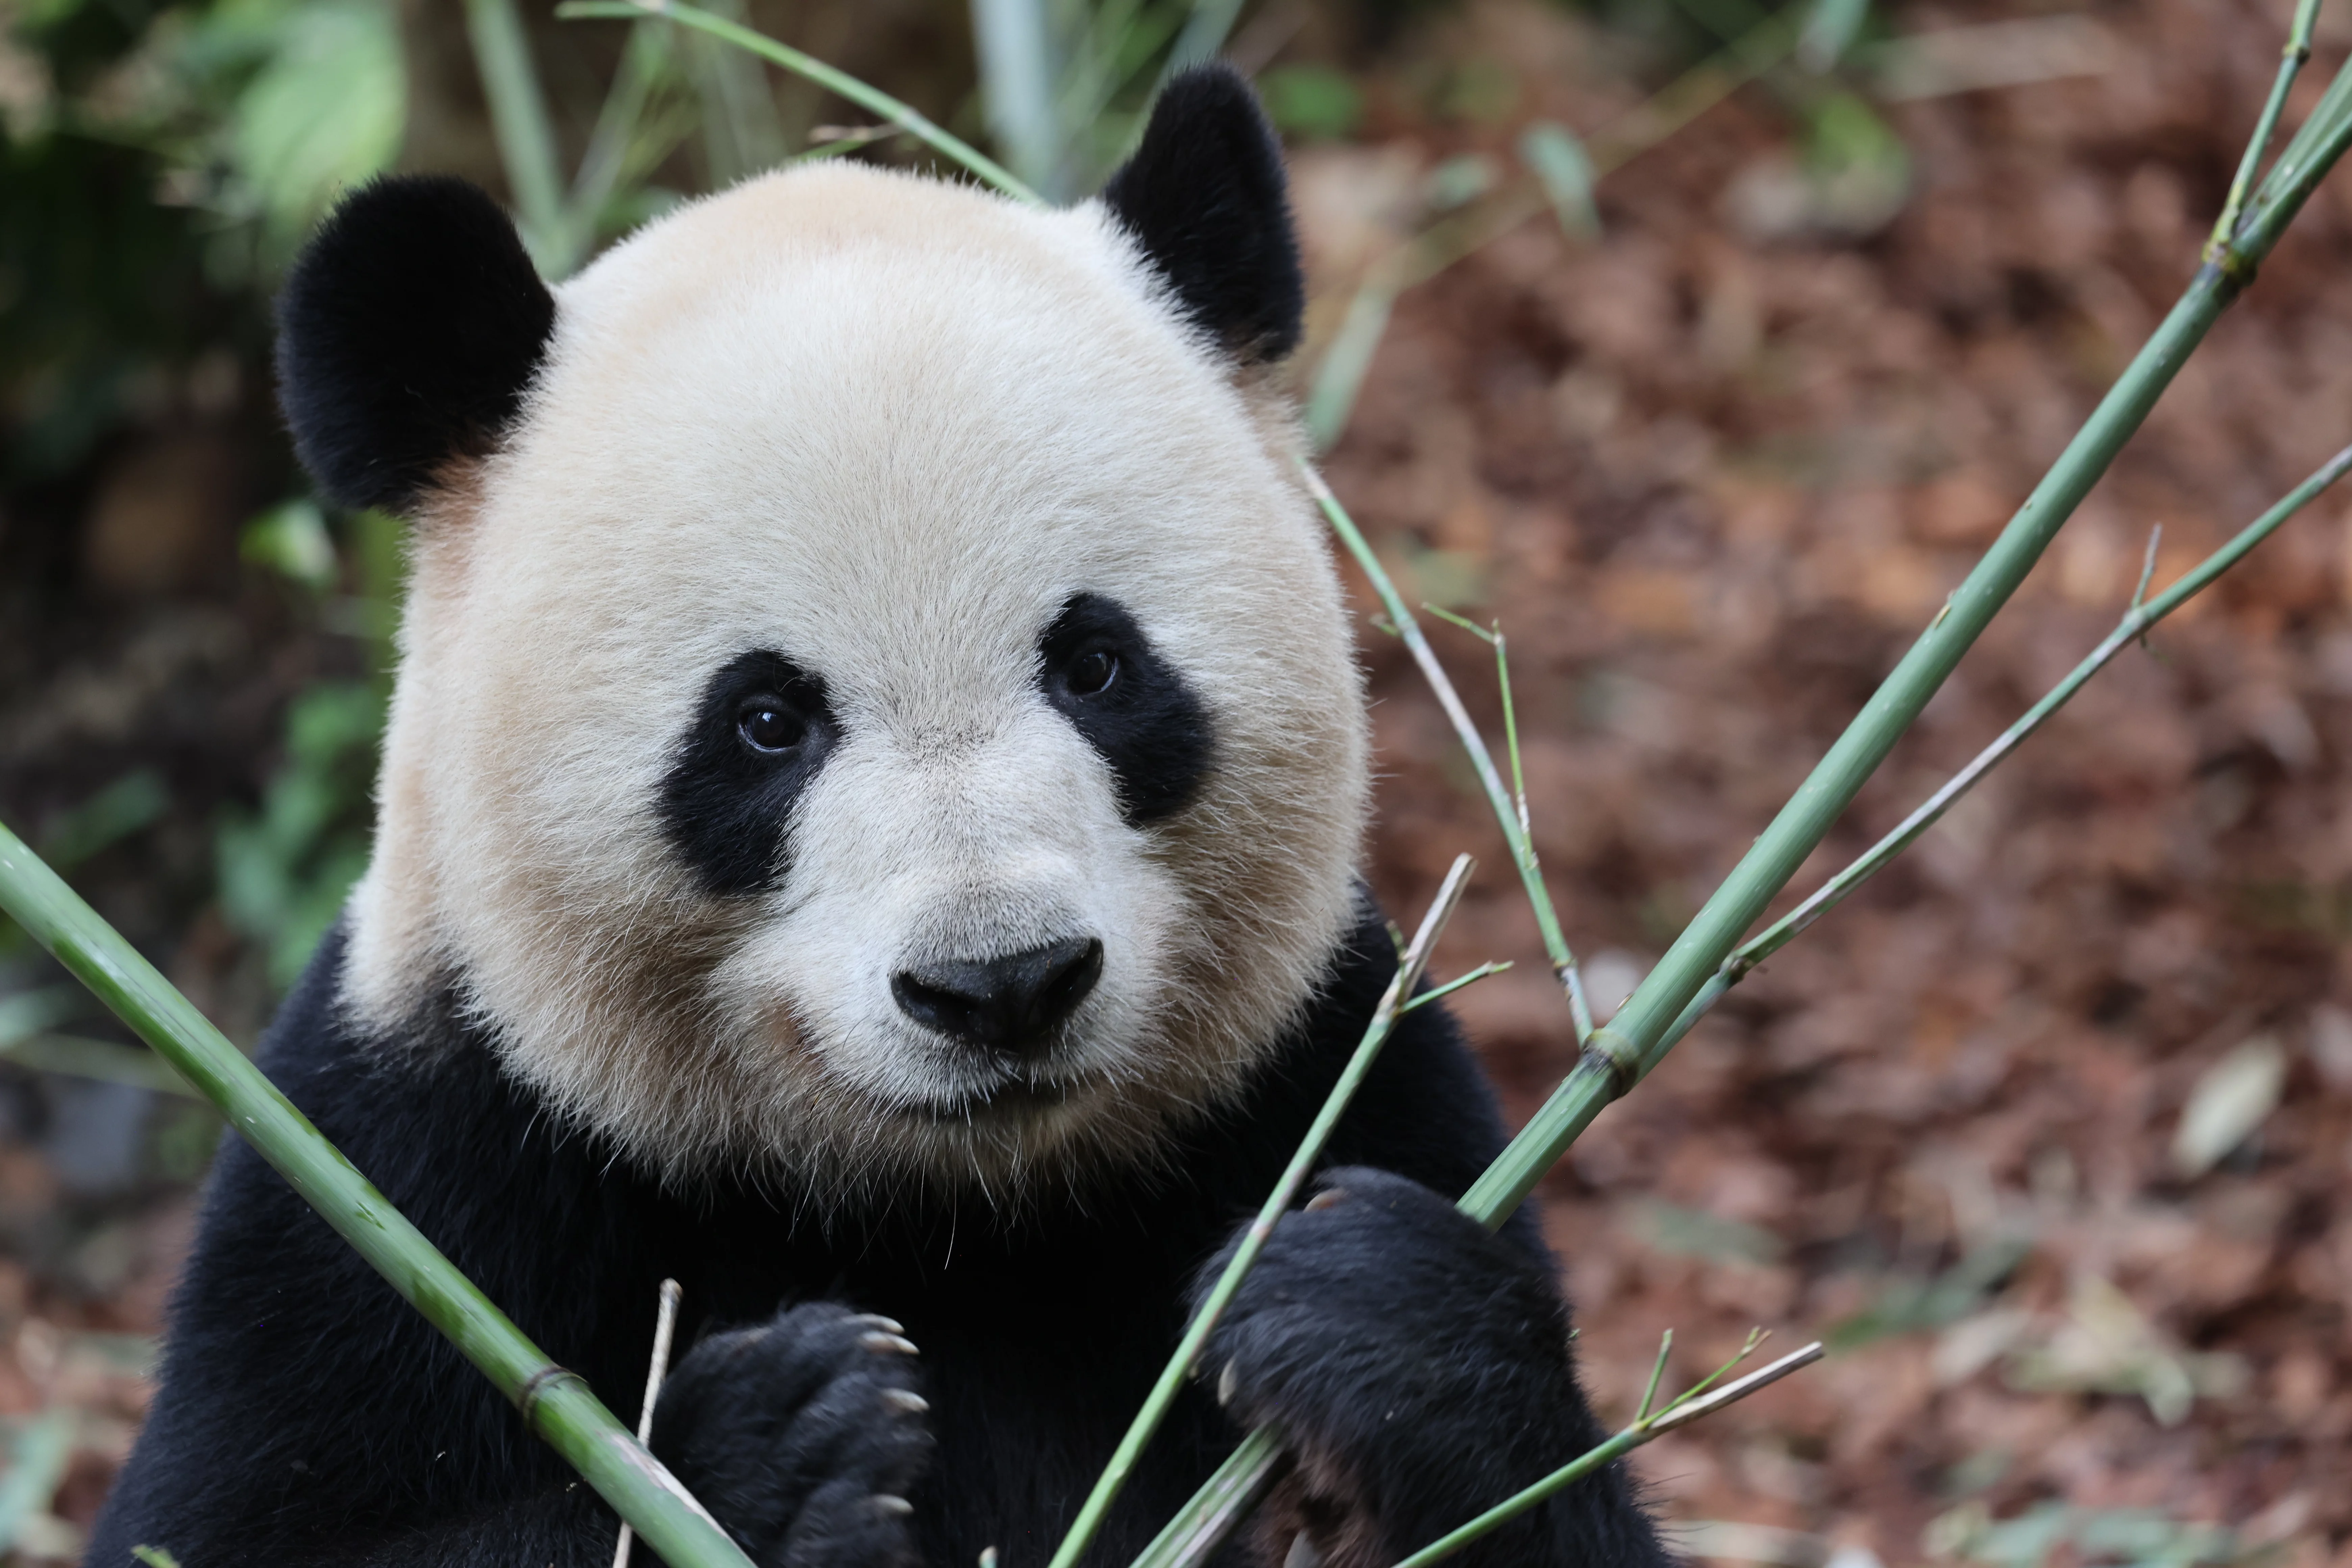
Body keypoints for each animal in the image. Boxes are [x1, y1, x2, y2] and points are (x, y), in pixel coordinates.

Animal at [89, 66, 1666, 1568]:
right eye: (764, 720)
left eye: (1094, 664)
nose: (1002, 983)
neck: (942, 1207)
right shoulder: (408, 1151)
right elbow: (227, 1520)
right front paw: (781, 1437)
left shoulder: (1328, 1059)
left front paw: (1373, 1315)